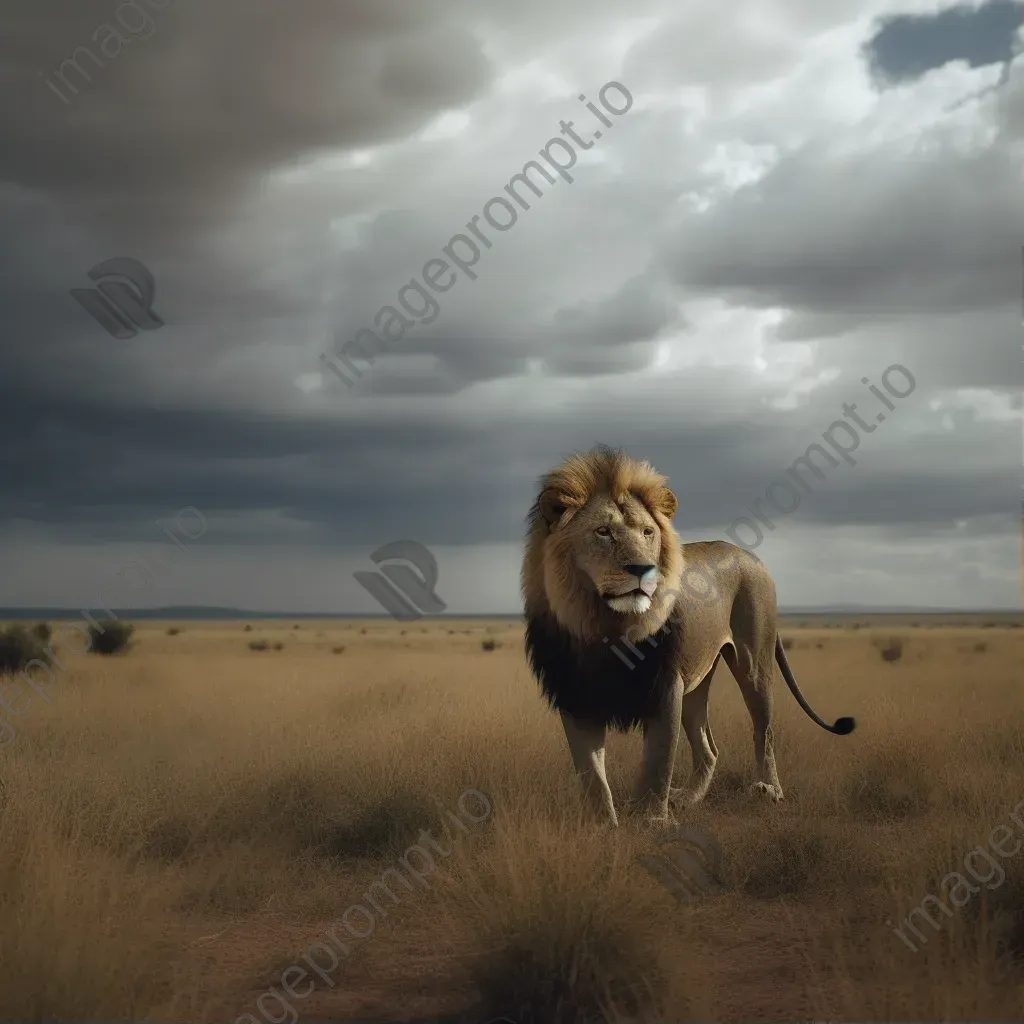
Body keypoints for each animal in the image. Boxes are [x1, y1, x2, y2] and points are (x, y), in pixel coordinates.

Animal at [520, 446, 856, 823]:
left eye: (647, 532)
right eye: (603, 531)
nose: (643, 569)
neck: (607, 626)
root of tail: (751, 556)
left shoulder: (665, 686)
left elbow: (658, 762)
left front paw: (652, 820)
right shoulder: (575, 695)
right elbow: (591, 774)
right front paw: (603, 825)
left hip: (754, 663)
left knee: (764, 731)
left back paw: (769, 790)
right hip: (697, 679)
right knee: (708, 749)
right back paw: (689, 798)